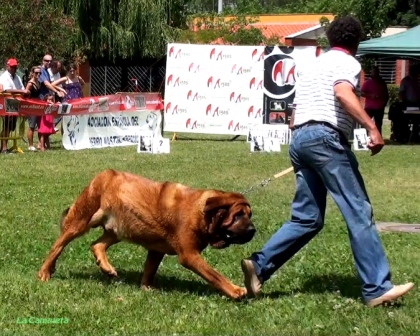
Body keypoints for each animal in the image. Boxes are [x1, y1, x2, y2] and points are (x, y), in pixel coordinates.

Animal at [38, 169, 256, 298]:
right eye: (237, 216)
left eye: (249, 215)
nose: (253, 230)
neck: (202, 212)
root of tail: (104, 174)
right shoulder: (190, 255)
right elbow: (214, 275)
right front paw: (236, 290)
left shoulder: (156, 250)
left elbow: (150, 269)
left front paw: (146, 288)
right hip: (81, 220)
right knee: (57, 246)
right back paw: (45, 272)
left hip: (117, 230)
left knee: (97, 244)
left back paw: (107, 268)